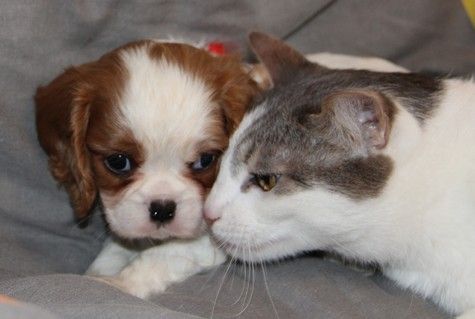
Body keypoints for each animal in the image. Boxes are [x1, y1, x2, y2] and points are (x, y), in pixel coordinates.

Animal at [35, 40, 260, 300]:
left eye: (205, 160)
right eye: (118, 162)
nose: (162, 209)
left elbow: (162, 254)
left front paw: (119, 284)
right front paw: (98, 273)